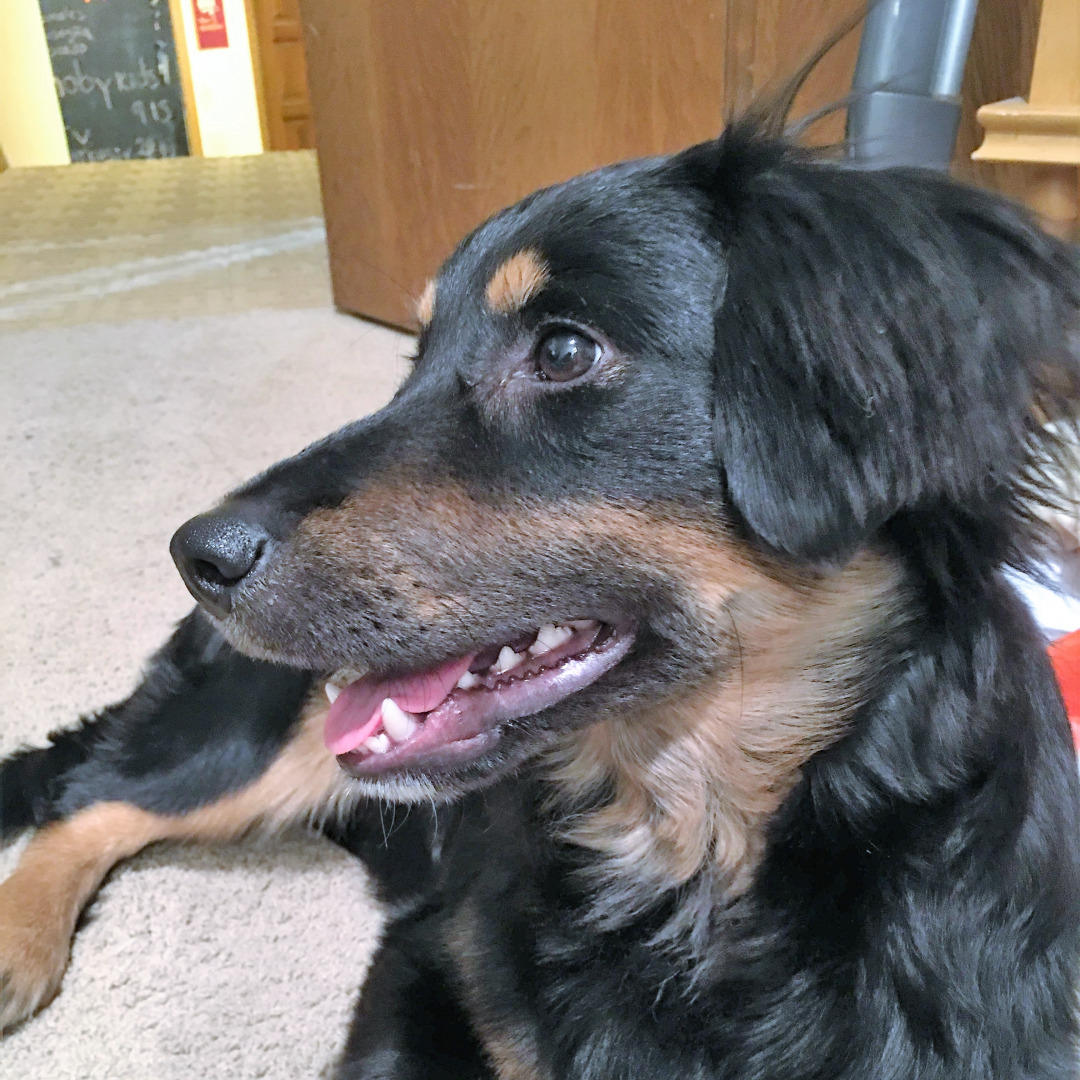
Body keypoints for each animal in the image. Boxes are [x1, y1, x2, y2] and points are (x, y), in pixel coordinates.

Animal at [2, 95, 1080, 1080]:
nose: (196, 554)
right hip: (266, 731)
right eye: (413, 358)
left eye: (563, 351)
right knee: (91, 799)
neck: (687, 845)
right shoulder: (430, 958)